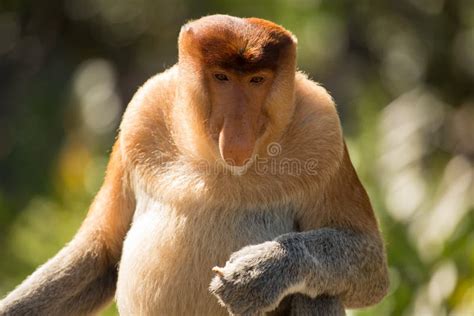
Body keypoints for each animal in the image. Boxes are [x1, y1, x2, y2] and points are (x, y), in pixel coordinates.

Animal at [0, 14, 388, 316]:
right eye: (222, 78)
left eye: (256, 80)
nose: (237, 134)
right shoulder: (141, 114)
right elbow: (101, 252)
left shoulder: (324, 132)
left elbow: (371, 265)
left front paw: (259, 273)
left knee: (320, 292)